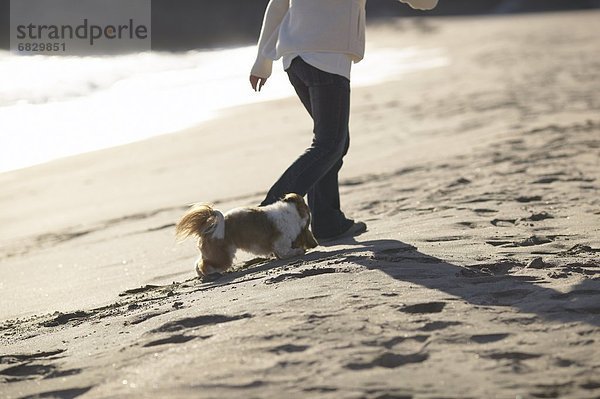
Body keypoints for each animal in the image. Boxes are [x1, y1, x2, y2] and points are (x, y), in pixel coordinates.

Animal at [176, 195, 318, 278]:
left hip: (211, 253)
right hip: (222, 256)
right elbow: (286, 252)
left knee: (199, 263)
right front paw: (299, 251)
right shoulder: (281, 243)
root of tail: (210, 227)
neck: (292, 212)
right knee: (206, 265)